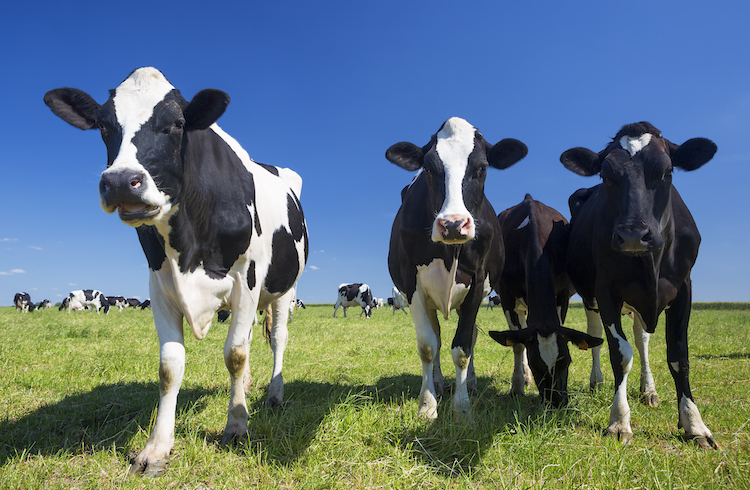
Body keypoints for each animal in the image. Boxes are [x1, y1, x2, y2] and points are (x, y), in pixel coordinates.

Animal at [44, 67, 309, 476]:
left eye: (177, 124)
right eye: (103, 125)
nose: (120, 182)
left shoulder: (245, 281)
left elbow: (234, 354)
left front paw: (236, 427)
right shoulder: (159, 286)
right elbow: (170, 366)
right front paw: (156, 448)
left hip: (284, 289)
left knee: (277, 339)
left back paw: (273, 396)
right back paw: (248, 387)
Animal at [386, 117, 527, 419]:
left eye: (482, 167)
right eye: (428, 168)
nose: (452, 224)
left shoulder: (478, 281)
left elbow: (462, 347)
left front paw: (462, 408)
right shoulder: (412, 284)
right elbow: (428, 346)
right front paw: (427, 405)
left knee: (470, 336)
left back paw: (470, 383)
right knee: (438, 337)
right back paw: (439, 384)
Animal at [488, 194, 602, 407]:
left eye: (566, 361)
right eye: (536, 365)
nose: (556, 402)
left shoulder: (562, 294)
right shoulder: (507, 297)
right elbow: (517, 344)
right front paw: (517, 387)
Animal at [559, 121, 718, 448]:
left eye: (667, 171)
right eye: (605, 175)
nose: (633, 235)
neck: (650, 265)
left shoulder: (684, 288)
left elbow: (678, 355)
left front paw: (694, 423)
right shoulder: (606, 291)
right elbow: (620, 354)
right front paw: (619, 420)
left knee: (642, 339)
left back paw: (649, 390)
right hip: (591, 296)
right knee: (596, 334)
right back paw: (597, 381)